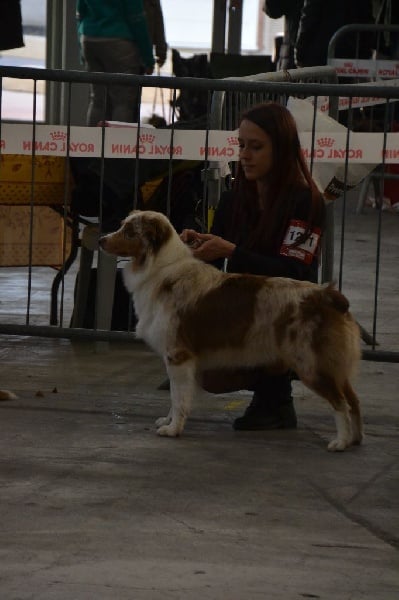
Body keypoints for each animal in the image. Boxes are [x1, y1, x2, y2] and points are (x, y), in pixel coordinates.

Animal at [99, 211, 362, 450]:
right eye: (122, 226)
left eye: (129, 232)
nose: (101, 239)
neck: (161, 269)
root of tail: (328, 295)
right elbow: (176, 398)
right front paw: (168, 420)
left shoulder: (178, 355)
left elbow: (178, 397)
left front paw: (173, 429)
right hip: (333, 365)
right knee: (354, 401)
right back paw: (355, 440)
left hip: (311, 364)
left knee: (341, 403)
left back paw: (340, 442)